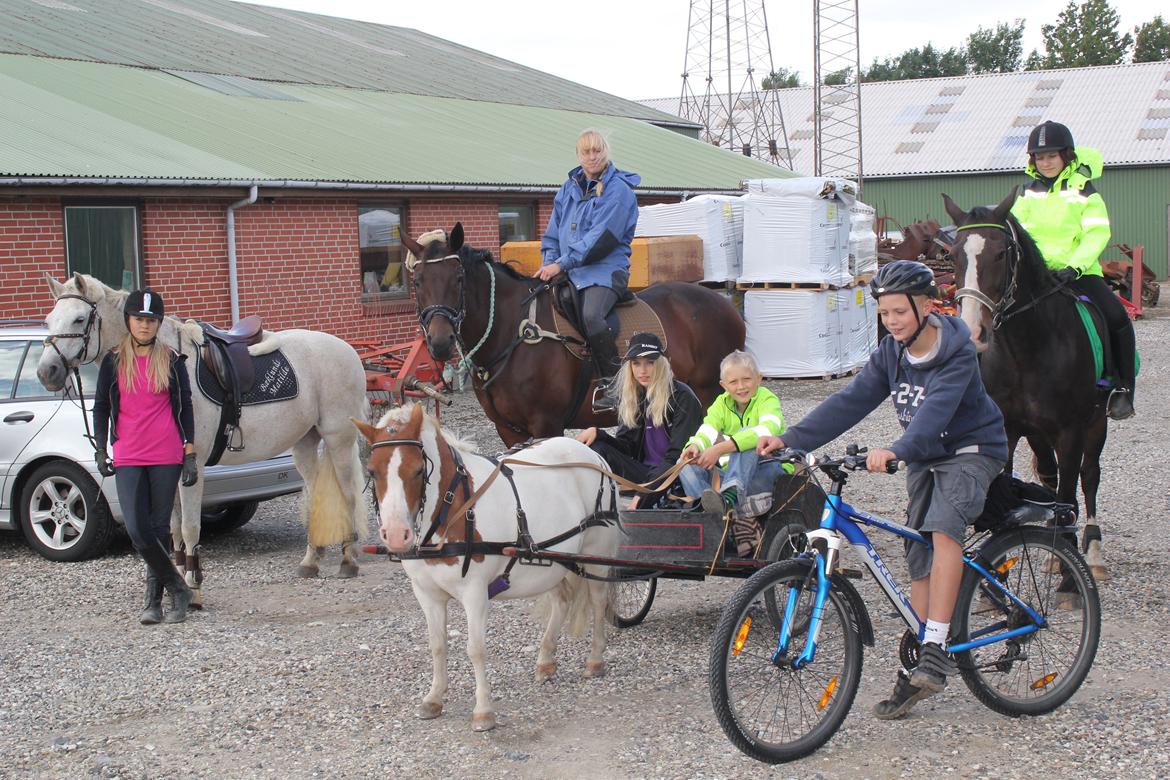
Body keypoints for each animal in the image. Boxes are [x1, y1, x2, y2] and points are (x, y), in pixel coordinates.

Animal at [37, 271, 365, 603]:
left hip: (338, 438)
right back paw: (311, 561)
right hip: (304, 443)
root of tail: (347, 350)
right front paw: (178, 581)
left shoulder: (190, 472)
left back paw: (348, 560)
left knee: (348, 494)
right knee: (315, 496)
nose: (46, 372)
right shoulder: (166, 471)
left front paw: (194, 585)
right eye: (49, 320)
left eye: (79, 319)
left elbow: (190, 527)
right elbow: (173, 530)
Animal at [355, 402, 622, 734]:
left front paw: (483, 710)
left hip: (595, 553)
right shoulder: (426, 594)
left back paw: (595, 660)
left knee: (598, 602)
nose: (395, 534)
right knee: (562, 600)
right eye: (372, 471)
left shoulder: (474, 593)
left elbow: (475, 648)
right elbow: (437, 644)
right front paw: (434, 698)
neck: (455, 507)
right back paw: (546, 660)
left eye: (417, 470)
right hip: (553, 557)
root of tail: (592, 455)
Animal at [402, 222, 744, 449]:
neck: (512, 334)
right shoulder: (508, 430)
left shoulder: (546, 425)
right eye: (417, 281)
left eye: (459, 278)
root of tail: (724, 305)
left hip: (710, 395)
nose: (440, 342)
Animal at [940, 189, 1113, 580]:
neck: (1027, 351)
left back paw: (1093, 553)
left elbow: (1070, 487)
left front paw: (1069, 573)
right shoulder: (1007, 428)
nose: (973, 331)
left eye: (1001, 253)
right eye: (953, 254)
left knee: (1088, 477)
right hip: (1037, 433)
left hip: (1097, 422)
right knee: (1050, 475)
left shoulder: (1071, 431)